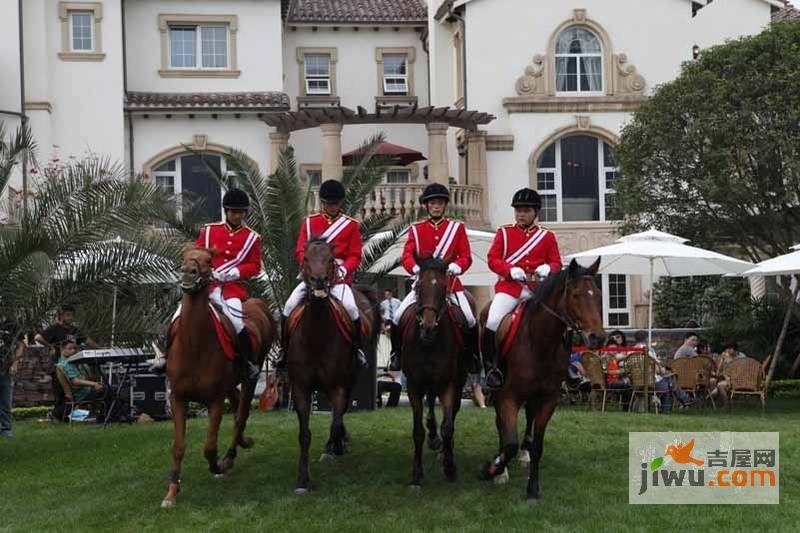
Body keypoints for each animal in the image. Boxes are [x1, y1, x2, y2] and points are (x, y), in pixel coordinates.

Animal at [161, 248, 276, 508]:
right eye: (185, 254)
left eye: (208, 260)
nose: (188, 272)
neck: (194, 345)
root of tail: (257, 305)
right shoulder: (178, 398)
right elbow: (178, 447)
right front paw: (172, 491)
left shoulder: (214, 401)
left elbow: (209, 448)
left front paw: (218, 466)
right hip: (231, 384)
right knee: (237, 407)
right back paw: (241, 443)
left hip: (250, 377)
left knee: (240, 415)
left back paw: (231, 456)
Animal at [286, 235, 380, 492]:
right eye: (306, 258)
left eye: (330, 259)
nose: (319, 281)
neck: (316, 335)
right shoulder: (301, 389)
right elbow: (304, 434)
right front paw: (302, 479)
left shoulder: (338, 386)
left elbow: (336, 423)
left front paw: (336, 446)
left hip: (350, 379)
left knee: (342, 411)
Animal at [400, 255, 476, 486]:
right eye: (418, 286)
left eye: (443, 287)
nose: (428, 328)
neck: (428, 344)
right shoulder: (414, 385)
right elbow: (418, 431)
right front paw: (416, 473)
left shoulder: (448, 384)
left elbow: (448, 426)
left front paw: (450, 467)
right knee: (431, 403)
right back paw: (434, 438)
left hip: (459, 380)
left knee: (451, 411)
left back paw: (443, 448)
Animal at [478, 256, 604, 498]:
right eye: (576, 295)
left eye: (598, 294)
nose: (598, 338)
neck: (539, 342)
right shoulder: (509, 396)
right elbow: (509, 442)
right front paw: (493, 470)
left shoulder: (548, 399)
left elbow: (537, 445)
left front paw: (532, 489)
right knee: (501, 424)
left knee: (528, 419)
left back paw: (523, 454)